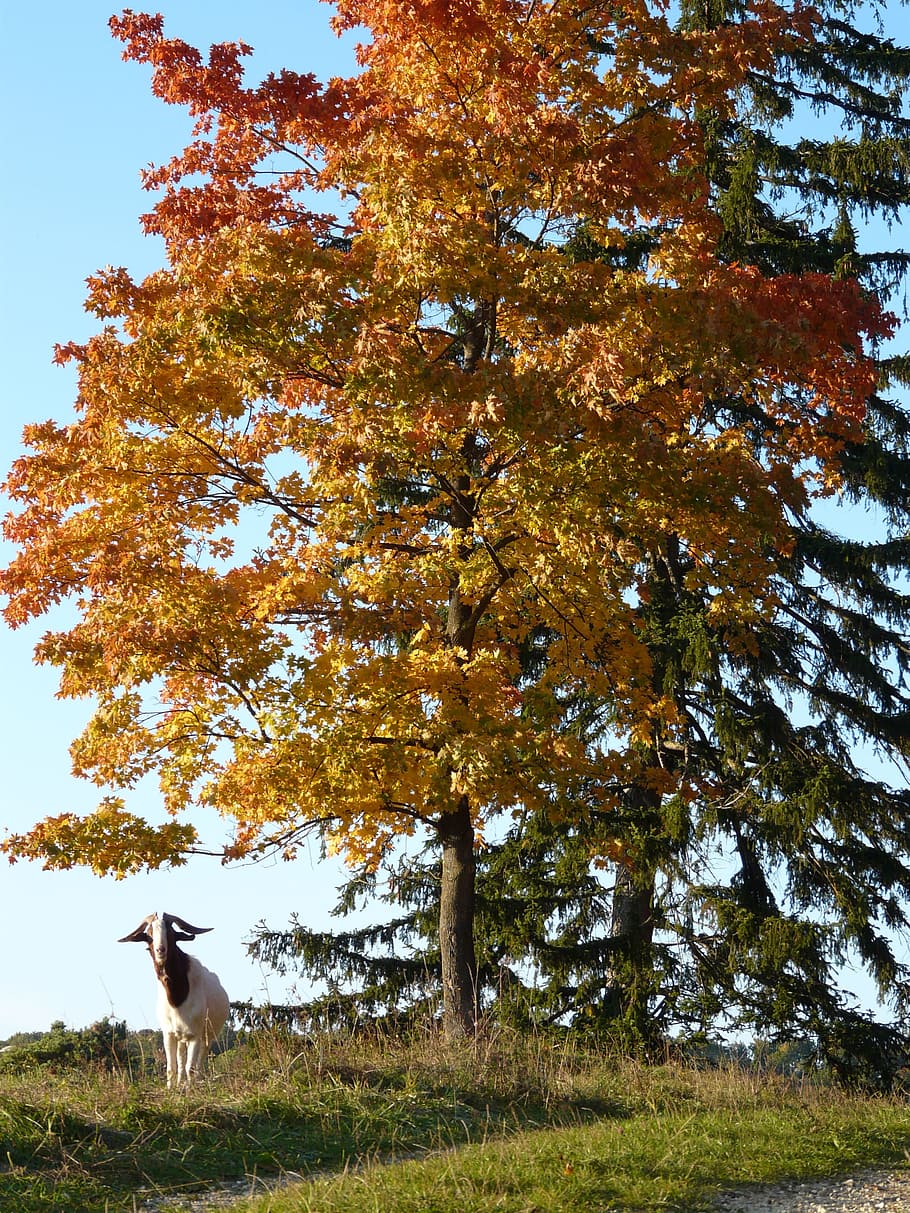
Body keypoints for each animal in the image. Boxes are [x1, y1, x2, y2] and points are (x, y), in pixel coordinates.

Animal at [119, 911, 230, 1086]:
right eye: (149, 935)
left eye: (171, 933)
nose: (160, 950)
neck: (178, 998)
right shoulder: (169, 1034)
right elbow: (172, 1068)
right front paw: (172, 1089)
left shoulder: (195, 1035)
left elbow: (191, 1068)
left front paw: (191, 1089)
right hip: (181, 1038)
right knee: (180, 1060)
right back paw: (179, 1084)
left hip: (209, 1036)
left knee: (199, 1062)